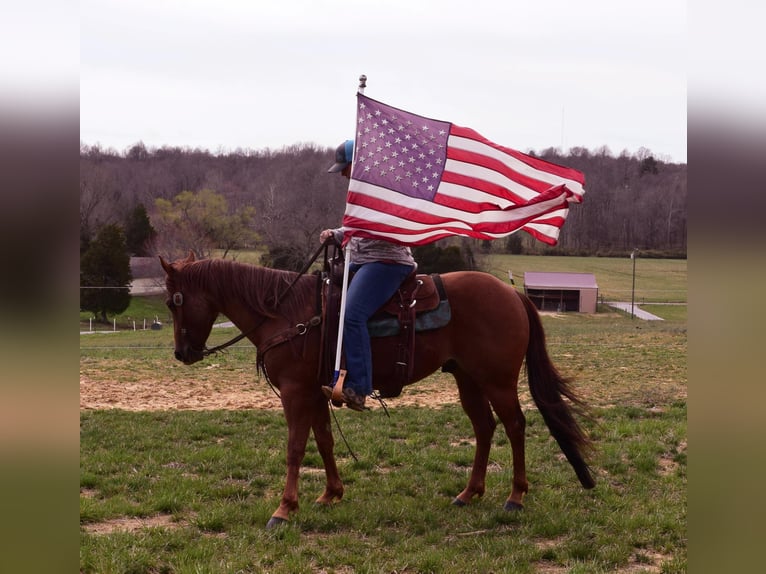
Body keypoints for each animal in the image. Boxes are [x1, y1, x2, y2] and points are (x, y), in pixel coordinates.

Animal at [160, 254, 592, 528]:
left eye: (173, 301)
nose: (182, 353)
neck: (286, 313)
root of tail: (512, 293)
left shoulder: (296, 392)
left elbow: (296, 448)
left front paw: (283, 510)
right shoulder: (316, 392)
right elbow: (325, 440)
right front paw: (330, 494)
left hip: (498, 381)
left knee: (515, 426)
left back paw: (515, 498)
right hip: (467, 378)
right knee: (485, 428)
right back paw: (469, 493)